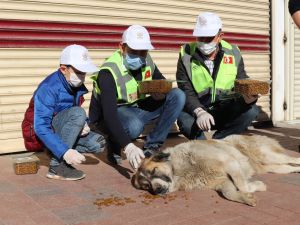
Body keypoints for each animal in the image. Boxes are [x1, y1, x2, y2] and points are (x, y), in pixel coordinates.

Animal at [132, 134, 300, 207]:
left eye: (154, 171)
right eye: (146, 186)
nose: (157, 190)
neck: (184, 169)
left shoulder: (230, 163)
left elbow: (243, 185)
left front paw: (255, 187)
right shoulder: (222, 182)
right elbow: (229, 193)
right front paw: (247, 197)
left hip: (267, 155)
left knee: (294, 159)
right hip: (273, 167)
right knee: (288, 167)